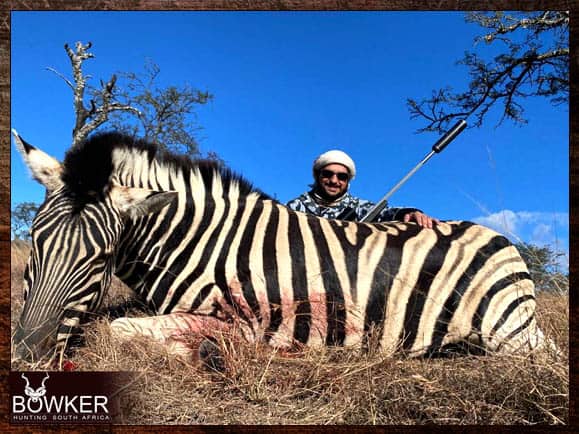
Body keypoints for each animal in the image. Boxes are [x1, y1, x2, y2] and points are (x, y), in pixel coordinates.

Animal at [11, 131, 552, 366]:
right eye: (34, 244)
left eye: (100, 259)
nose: (26, 354)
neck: (204, 242)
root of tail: (502, 240)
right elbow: (110, 322)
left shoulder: (250, 318)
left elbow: (118, 328)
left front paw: (207, 350)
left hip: (509, 331)